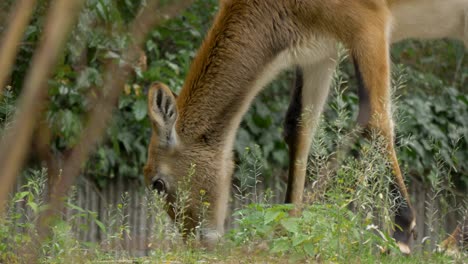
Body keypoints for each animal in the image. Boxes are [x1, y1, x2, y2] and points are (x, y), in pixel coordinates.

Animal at [144, 0, 468, 254]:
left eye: (158, 184)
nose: (196, 243)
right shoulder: (320, 52)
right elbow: (299, 126)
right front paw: (286, 230)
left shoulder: (369, 26)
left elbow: (376, 118)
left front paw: (400, 231)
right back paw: (451, 245)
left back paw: (449, 246)